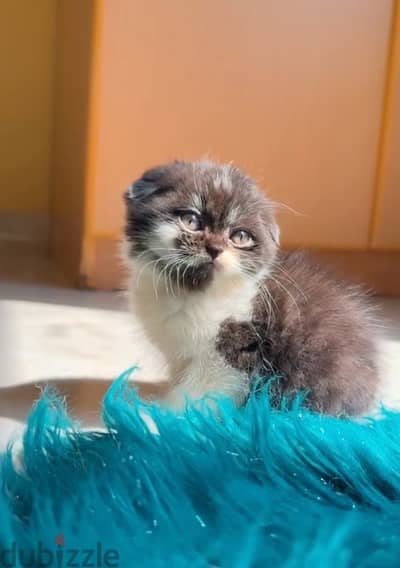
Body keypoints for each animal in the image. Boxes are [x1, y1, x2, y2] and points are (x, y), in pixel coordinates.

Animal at [123, 158, 380, 414]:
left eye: (240, 237)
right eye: (191, 221)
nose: (215, 249)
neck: (190, 293)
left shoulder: (232, 352)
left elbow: (199, 392)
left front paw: (154, 414)